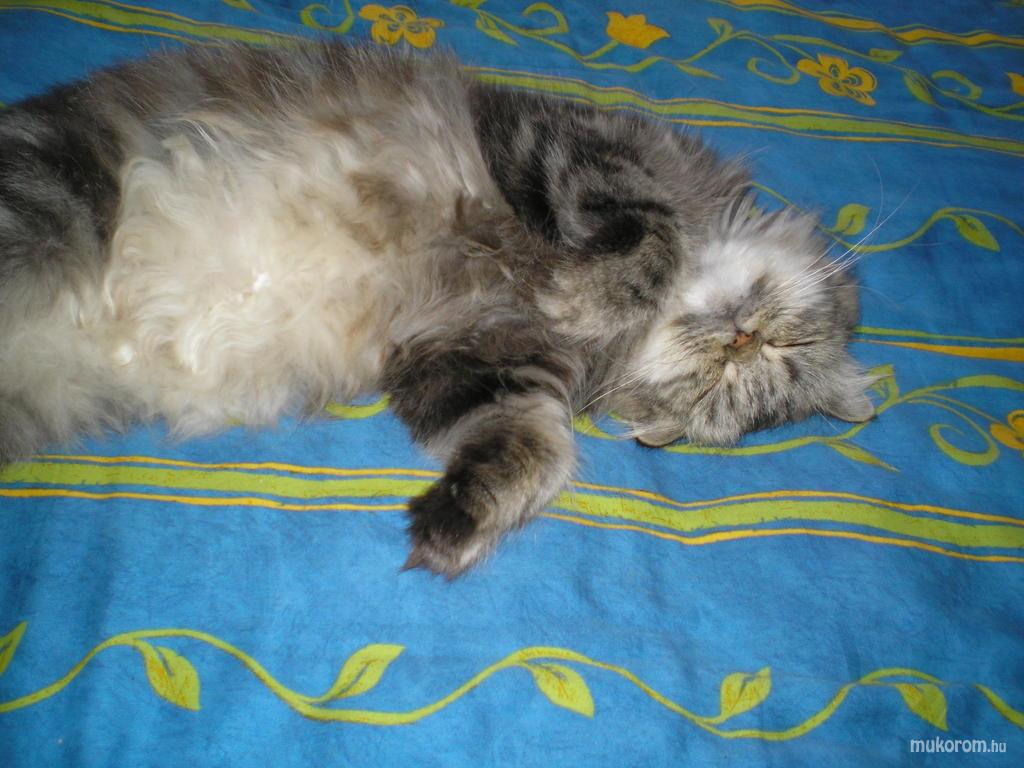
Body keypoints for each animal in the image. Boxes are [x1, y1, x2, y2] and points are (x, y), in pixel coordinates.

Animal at [0, 41, 875, 576]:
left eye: (728, 389)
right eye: (775, 349)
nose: (740, 338)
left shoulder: (468, 356)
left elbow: (538, 448)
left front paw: (457, 523)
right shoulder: (560, 143)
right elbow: (649, 231)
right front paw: (592, 292)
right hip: (48, 199)